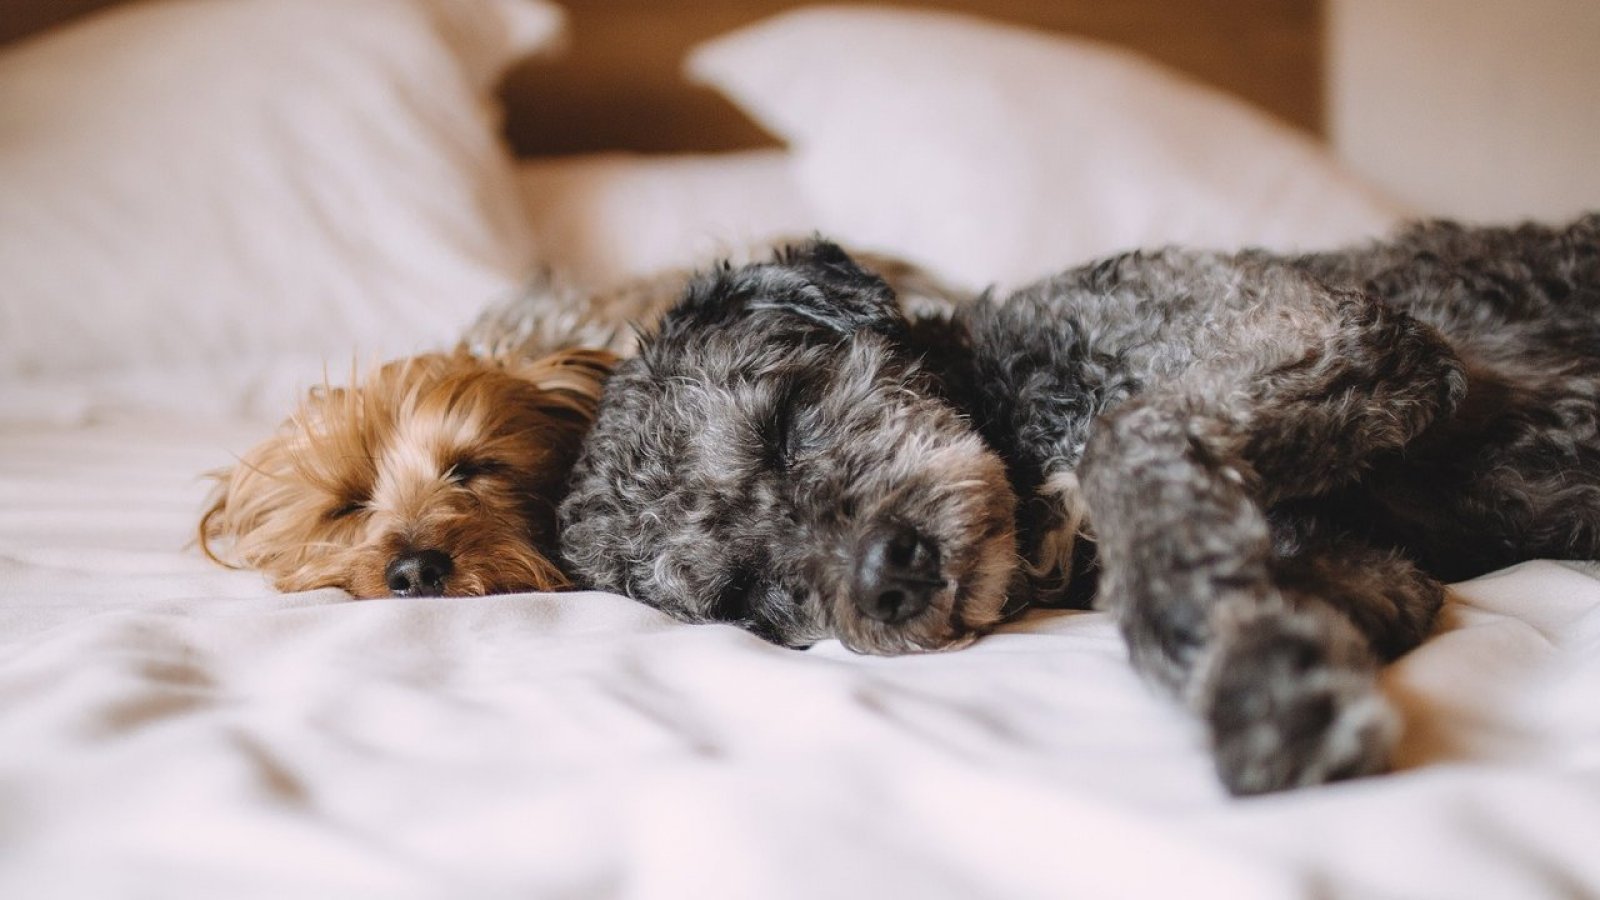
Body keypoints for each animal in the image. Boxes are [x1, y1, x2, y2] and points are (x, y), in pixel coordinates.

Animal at [560, 217, 1600, 791]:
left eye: (783, 420)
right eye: (746, 597)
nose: (888, 576)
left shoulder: (1333, 326)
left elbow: (1123, 442)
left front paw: (1256, 689)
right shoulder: (1380, 570)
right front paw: (1247, 640)